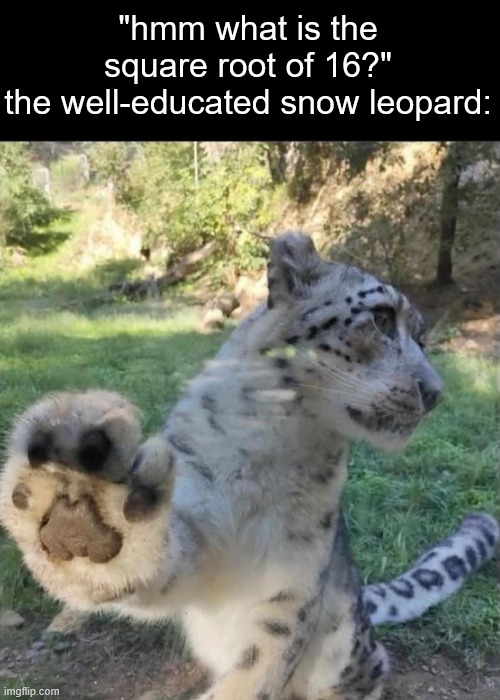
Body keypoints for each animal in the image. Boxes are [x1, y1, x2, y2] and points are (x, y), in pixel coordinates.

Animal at [1, 232, 498, 700]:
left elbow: (264, 658)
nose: (434, 392)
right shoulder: (196, 525)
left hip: (344, 645)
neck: (277, 438)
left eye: (423, 339)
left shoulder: (296, 572)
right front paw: (78, 508)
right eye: (380, 318)